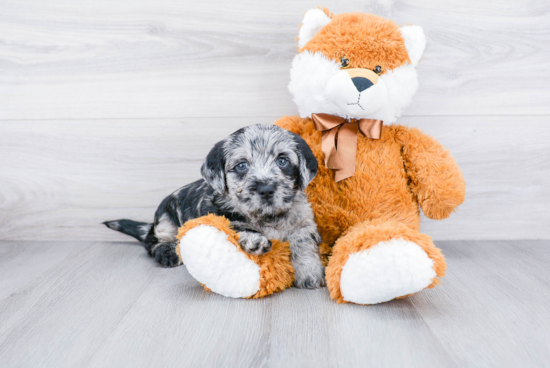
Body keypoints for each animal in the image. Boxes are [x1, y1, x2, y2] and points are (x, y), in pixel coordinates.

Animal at [105, 125, 326, 288]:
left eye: (282, 161)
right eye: (242, 165)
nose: (266, 189)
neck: (267, 216)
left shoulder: (303, 222)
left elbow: (303, 243)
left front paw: (309, 272)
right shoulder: (219, 215)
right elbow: (237, 226)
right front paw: (255, 239)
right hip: (165, 222)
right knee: (152, 243)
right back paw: (167, 253)